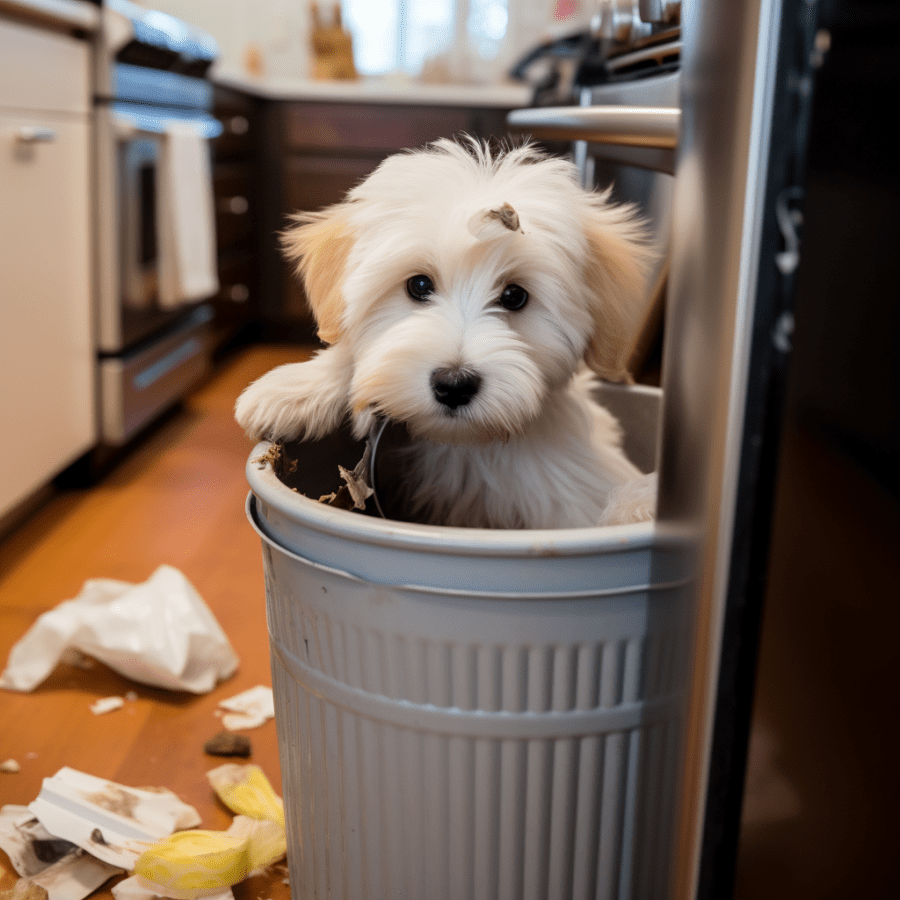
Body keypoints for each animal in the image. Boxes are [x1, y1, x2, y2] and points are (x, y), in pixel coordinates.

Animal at [237, 140, 660, 528]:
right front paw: (296, 390)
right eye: (419, 285)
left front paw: (643, 504)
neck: (465, 444)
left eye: (515, 296)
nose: (454, 384)